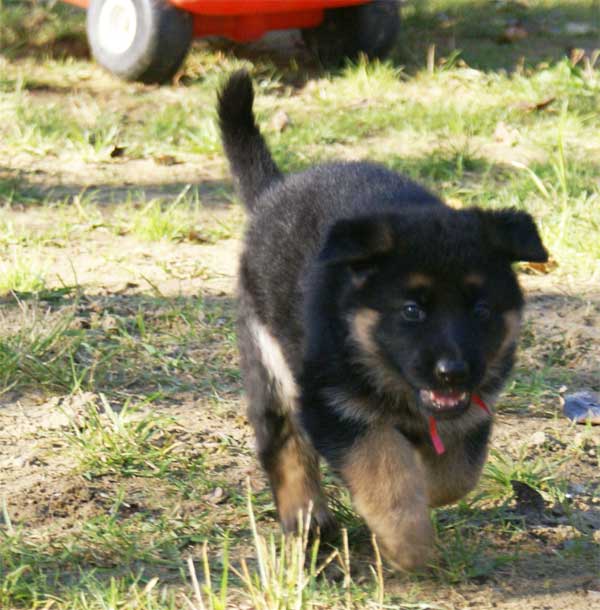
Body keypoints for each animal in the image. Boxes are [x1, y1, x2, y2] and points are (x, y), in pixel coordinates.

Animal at [217, 71, 548, 568]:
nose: (452, 372)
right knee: (284, 444)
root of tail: (274, 192)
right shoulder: (332, 404)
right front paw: (409, 545)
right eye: (411, 311)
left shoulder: (472, 406)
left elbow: (454, 474)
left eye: (481, 310)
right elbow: (385, 473)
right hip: (267, 358)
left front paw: (426, 491)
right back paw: (308, 525)